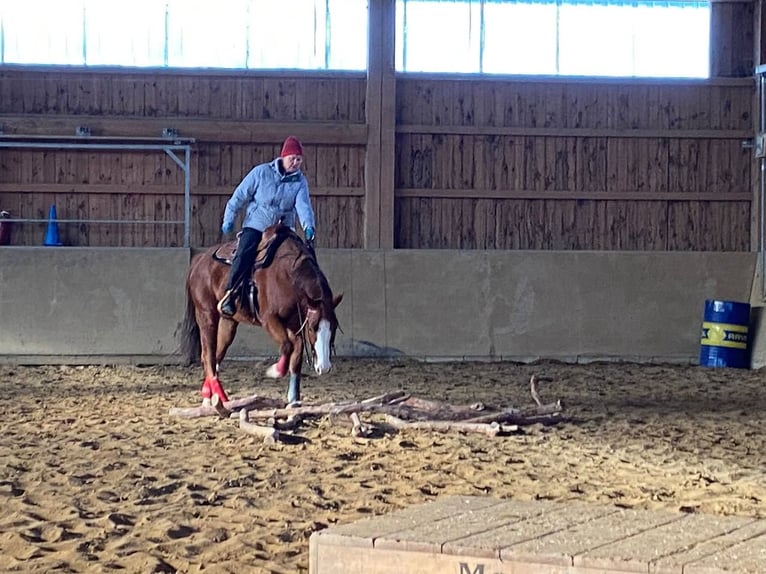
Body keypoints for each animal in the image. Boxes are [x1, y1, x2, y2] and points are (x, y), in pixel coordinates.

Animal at [177, 222, 343, 406]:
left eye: (334, 328)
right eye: (313, 328)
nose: (324, 367)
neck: (288, 276)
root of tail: (198, 260)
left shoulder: (295, 325)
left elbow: (296, 357)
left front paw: (294, 400)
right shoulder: (269, 320)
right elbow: (287, 346)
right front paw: (275, 371)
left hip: (229, 322)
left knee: (216, 356)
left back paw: (211, 396)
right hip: (206, 315)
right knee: (207, 355)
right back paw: (217, 396)